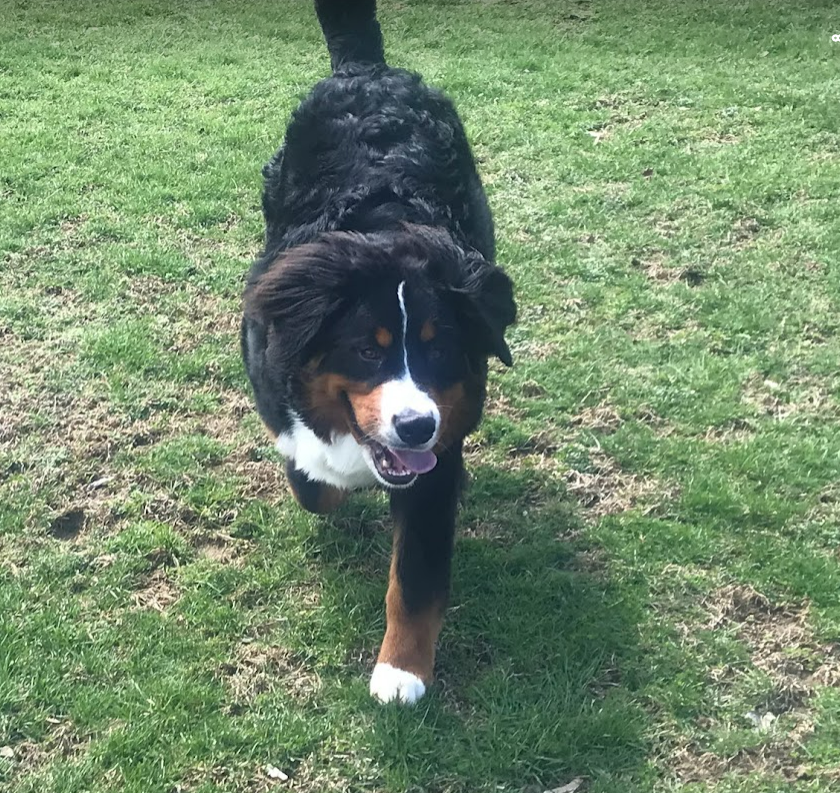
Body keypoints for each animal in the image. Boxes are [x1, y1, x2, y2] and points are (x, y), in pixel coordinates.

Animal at [240, 0, 516, 704]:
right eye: (368, 351)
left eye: (440, 353)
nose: (415, 426)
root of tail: (368, 72)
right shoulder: (279, 400)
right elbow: (313, 483)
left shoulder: (439, 452)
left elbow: (415, 577)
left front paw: (402, 671)